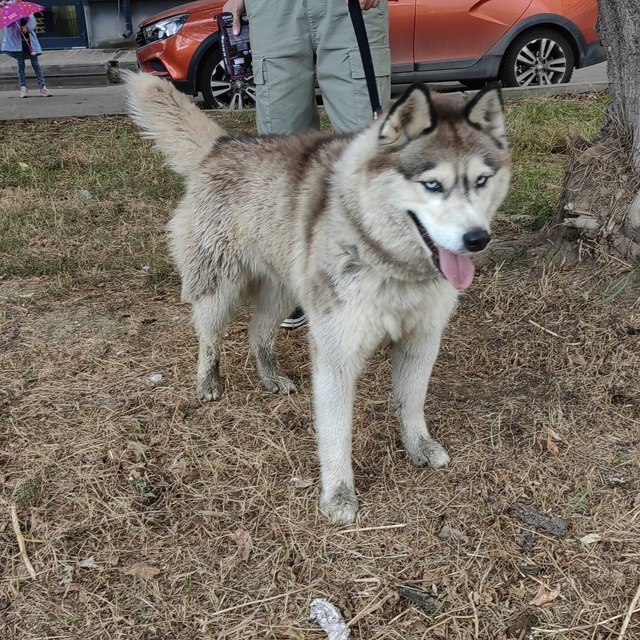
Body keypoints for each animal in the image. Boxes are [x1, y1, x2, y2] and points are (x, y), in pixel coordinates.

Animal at [127, 74, 512, 524]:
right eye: (432, 184)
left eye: (481, 181)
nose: (477, 239)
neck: (388, 260)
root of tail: (224, 143)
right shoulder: (336, 351)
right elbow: (335, 433)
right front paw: (339, 493)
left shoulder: (421, 339)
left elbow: (411, 401)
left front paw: (416, 444)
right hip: (218, 289)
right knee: (209, 336)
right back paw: (207, 381)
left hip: (282, 291)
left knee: (258, 333)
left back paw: (270, 375)